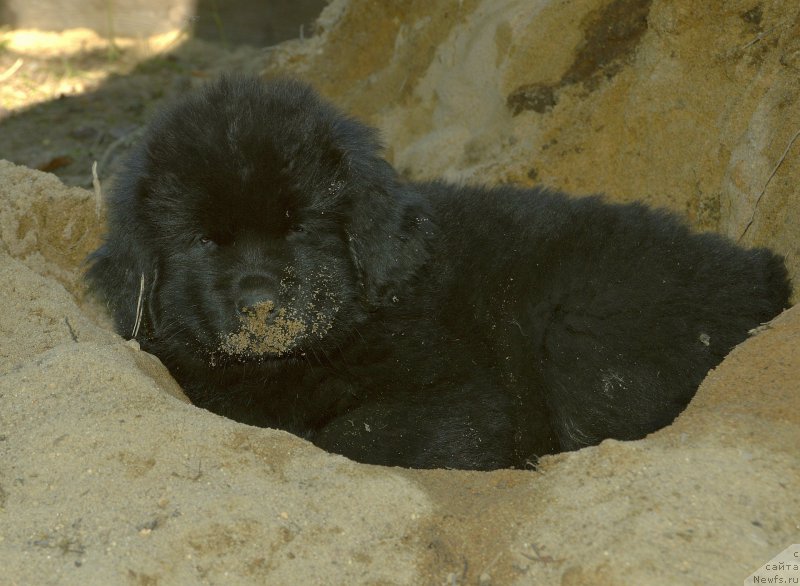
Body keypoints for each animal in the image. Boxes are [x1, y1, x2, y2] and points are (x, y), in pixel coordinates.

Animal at [89, 75, 792, 470]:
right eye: (204, 241)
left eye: (300, 225)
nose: (260, 299)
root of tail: (757, 272)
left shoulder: (460, 395)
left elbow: (350, 431)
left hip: (578, 329)